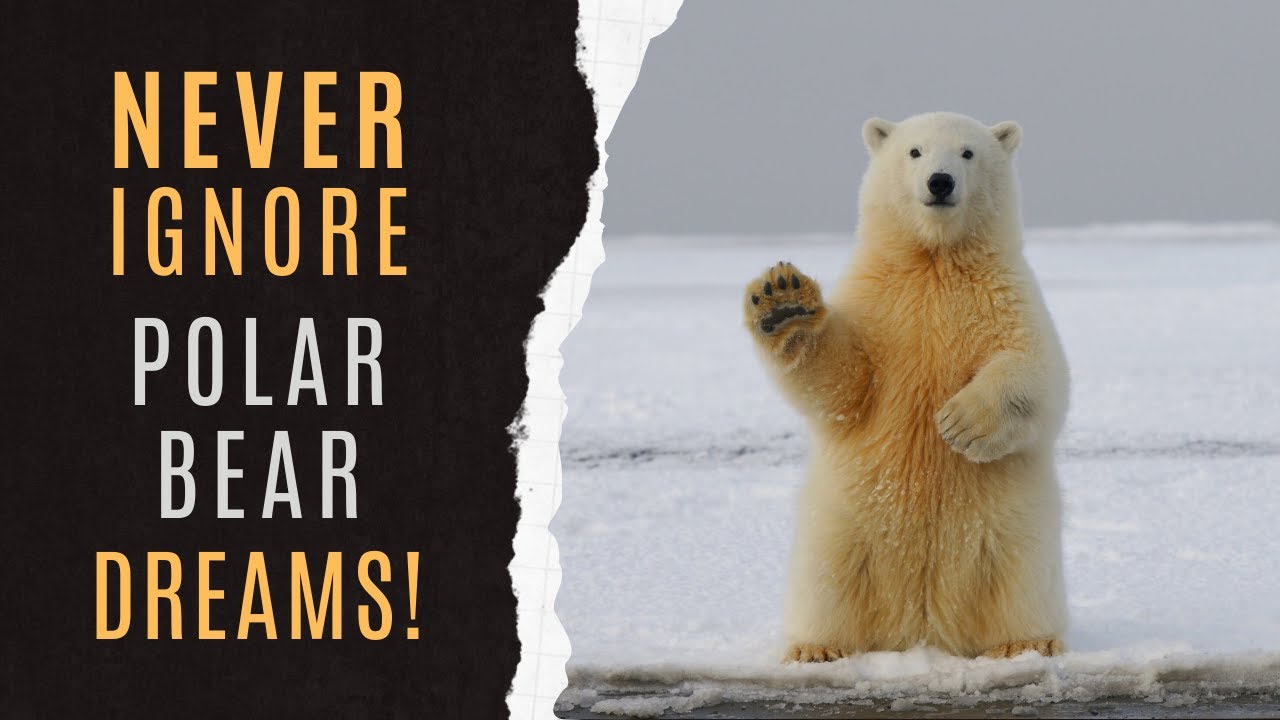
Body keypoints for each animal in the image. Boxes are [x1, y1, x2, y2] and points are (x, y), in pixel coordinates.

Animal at [743, 112, 1069, 662]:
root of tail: (922, 627)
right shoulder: (879, 302)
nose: (940, 182)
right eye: (914, 151)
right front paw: (783, 302)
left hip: (1012, 529)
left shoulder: (1006, 296)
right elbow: (844, 383)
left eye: (967, 153)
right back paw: (816, 648)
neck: (934, 260)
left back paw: (1027, 643)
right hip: (842, 527)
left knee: (1020, 579)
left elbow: (1037, 371)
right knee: (826, 581)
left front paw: (960, 423)